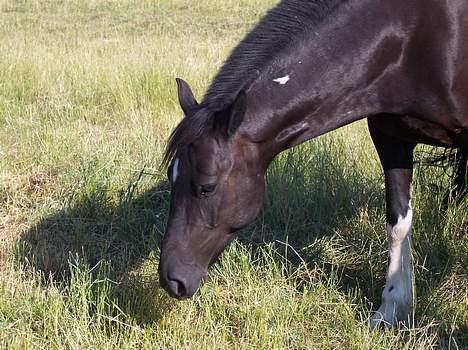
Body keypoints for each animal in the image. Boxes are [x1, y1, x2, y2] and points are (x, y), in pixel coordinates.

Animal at [158, 0, 468, 328]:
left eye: (207, 187)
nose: (171, 280)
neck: (415, 36)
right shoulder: (390, 138)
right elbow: (398, 223)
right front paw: (391, 310)